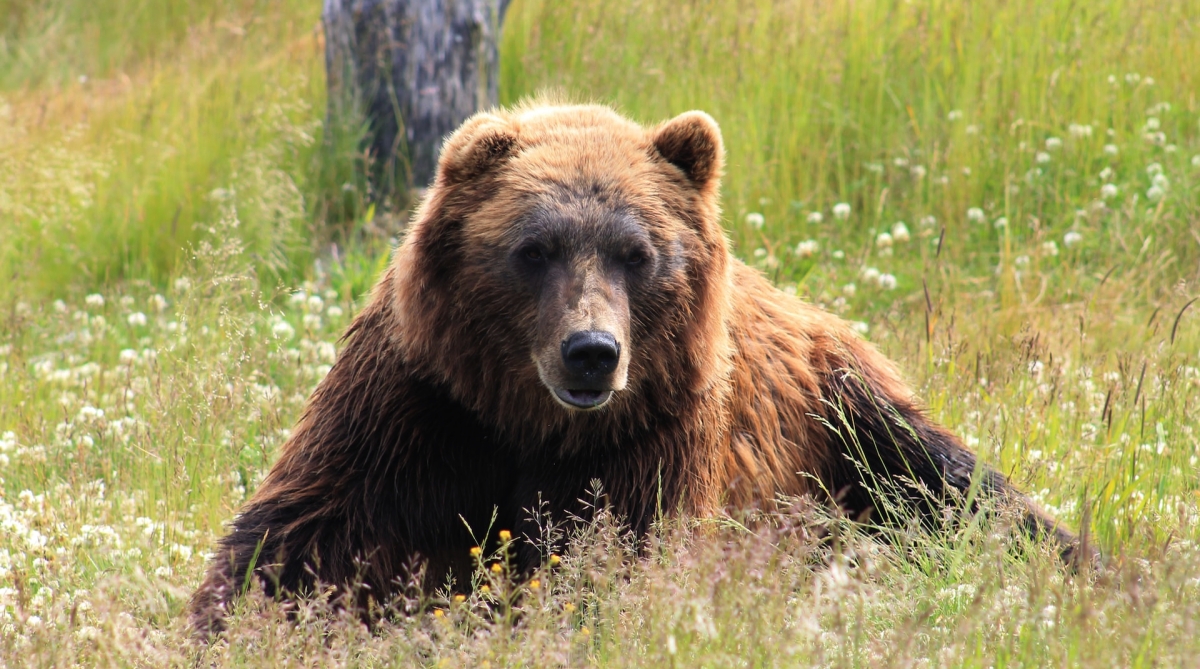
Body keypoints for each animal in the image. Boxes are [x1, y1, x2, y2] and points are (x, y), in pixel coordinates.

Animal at [187, 102, 1080, 637]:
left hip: (847, 416)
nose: (592, 350)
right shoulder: (422, 408)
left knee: (963, 491)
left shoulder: (653, 436)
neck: (531, 423)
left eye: (637, 252)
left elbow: (618, 560)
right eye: (533, 248)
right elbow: (304, 537)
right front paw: (232, 619)